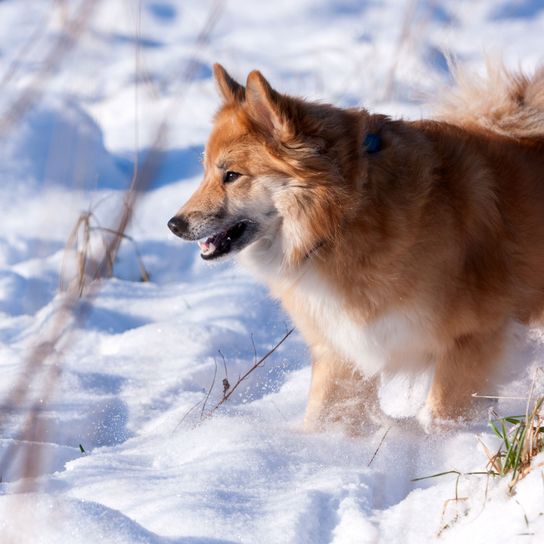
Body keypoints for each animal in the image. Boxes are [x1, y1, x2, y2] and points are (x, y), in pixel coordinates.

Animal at [168, 62, 544, 430]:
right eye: (205, 172)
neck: (346, 215)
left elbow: (440, 416)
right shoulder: (343, 347)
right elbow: (322, 415)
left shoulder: (473, 339)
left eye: (231, 175)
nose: (174, 224)